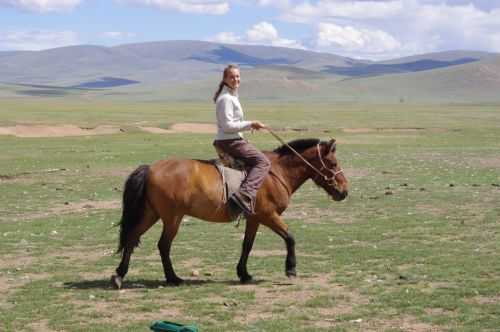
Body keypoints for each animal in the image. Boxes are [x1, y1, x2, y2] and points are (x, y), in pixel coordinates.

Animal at [111, 137, 348, 288]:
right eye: (333, 163)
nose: (344, 192)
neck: (276, 173)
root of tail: (151, 168)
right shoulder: (268, 215)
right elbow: (290, 237)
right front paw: (290, 269)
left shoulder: (254, 218)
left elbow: (247, 245)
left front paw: (244, 274)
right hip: (172, 218)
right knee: (163, 245)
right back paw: (173, 278)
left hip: (152, 214)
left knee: (132, 238)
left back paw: (119, 276)